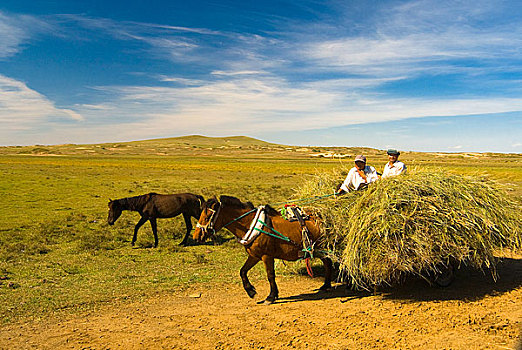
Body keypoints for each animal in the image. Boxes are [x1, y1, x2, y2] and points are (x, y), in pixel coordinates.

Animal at [192, 194, 334, 304]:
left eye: (207, 217)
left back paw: (328, 285)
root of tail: (322, 216)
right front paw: (251, 291)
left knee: (329, 262)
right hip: (319, 250)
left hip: (322, 248)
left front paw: (271, 297)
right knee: (328, 263)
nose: (196, 236)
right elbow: (242, 271)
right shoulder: (254, 256)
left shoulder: (267, 256)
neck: (250, 224)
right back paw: (326, 285)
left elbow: (270, 275)